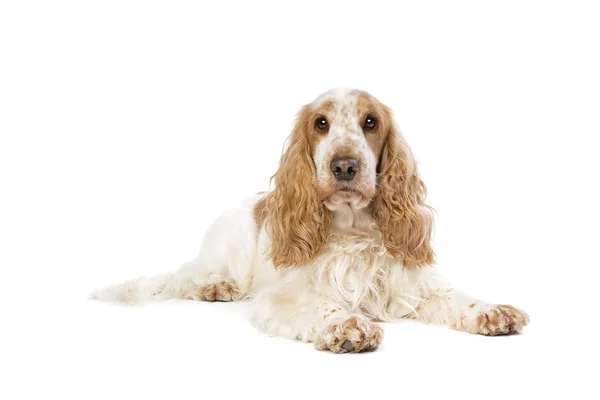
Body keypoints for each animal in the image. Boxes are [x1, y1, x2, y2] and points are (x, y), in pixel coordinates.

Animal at [90, 87, 528, 354]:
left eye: (370, 122)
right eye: (321, 123)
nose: (345, 166)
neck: (353, 230)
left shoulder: (412, 287)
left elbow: (456, 297)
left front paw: (492, 311)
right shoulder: (282, 297)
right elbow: (323, 307)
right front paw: (348, 326)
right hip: (227, 247)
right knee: (189, 278)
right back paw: (216, 288)